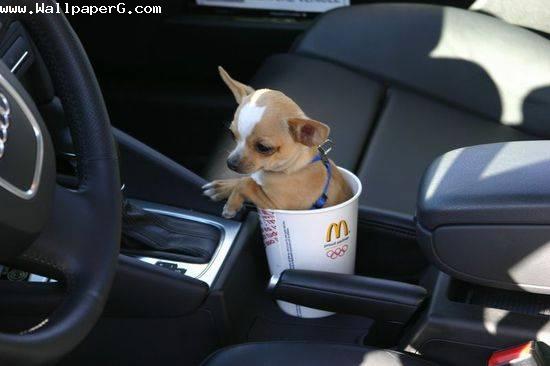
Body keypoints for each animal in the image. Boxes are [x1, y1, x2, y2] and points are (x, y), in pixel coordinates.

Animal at [203, 66, 354, 217]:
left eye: (263, 148)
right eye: (232, 135)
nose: (230, 163)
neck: (294, 169)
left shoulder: (277, 206)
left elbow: (246, 182)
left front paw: (232, 204)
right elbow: (246, 180)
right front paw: (221, 188)